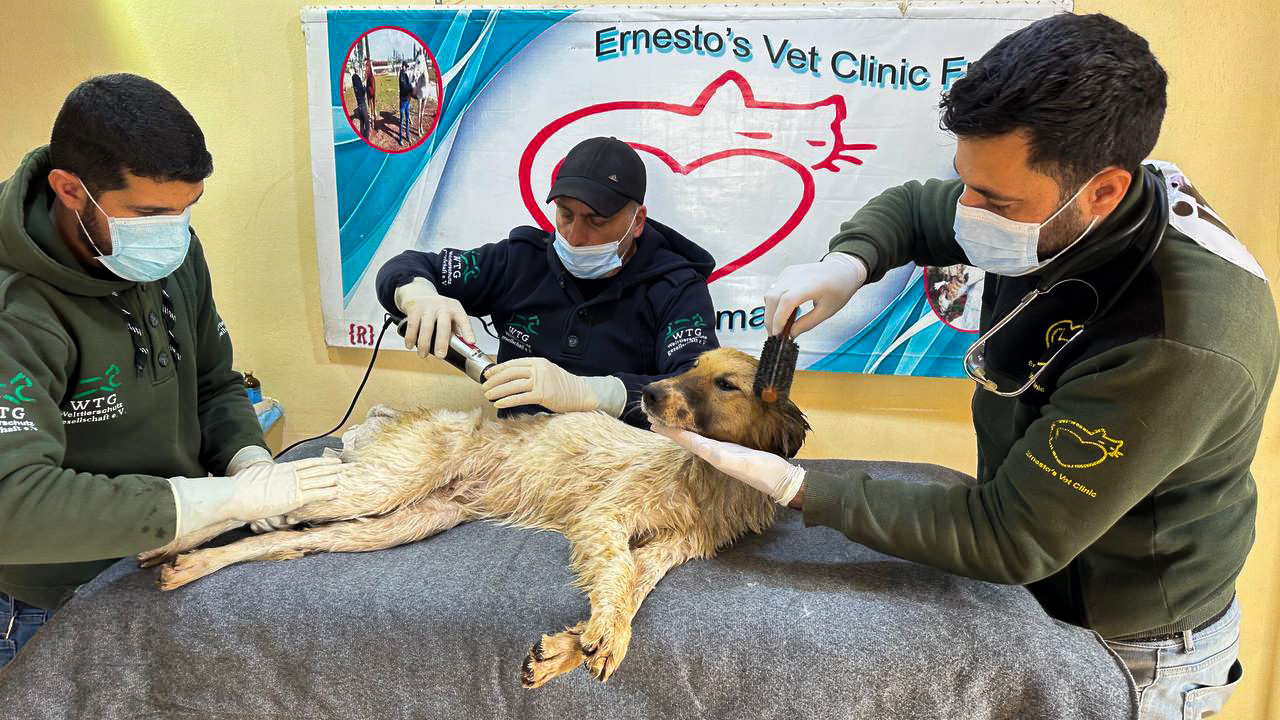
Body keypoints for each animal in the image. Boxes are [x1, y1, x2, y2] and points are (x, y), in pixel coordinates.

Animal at [142, 345, 808, 681]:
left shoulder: (668, 550)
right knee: (274, 494)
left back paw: (188, 565)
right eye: (691, 367)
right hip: (378, 483)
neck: (708, 476)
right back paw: (170, 534)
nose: (645, 393)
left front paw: (574, 647)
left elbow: (628, 594)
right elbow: (616, 576)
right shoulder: (605, 519)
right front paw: (596, 639)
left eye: (725, 384)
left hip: (396, 523)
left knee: (290, 541)